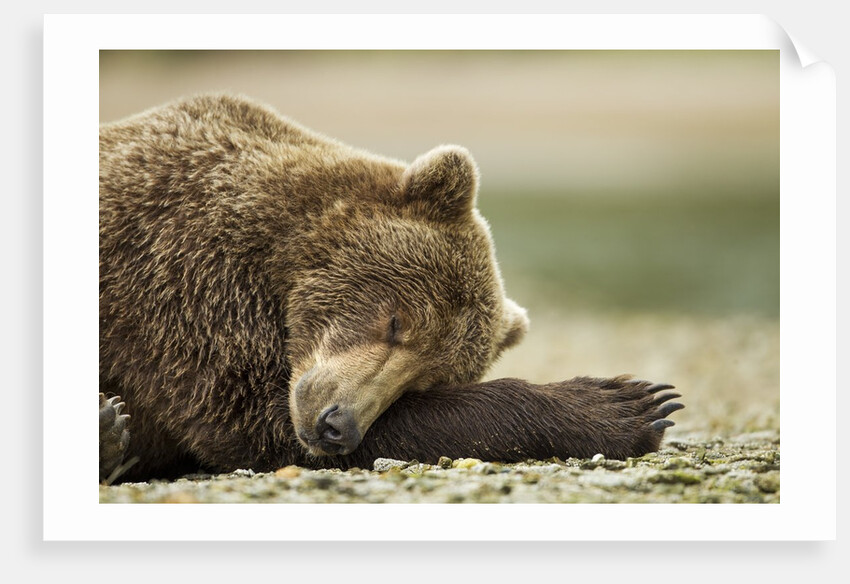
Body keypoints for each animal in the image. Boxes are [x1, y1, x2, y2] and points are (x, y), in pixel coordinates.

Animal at [99, 93, 682, 484]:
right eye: (397, 320)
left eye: (424, 379)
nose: (338, 425)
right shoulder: (183, 283)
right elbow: (248, 416)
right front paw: (626, 404)